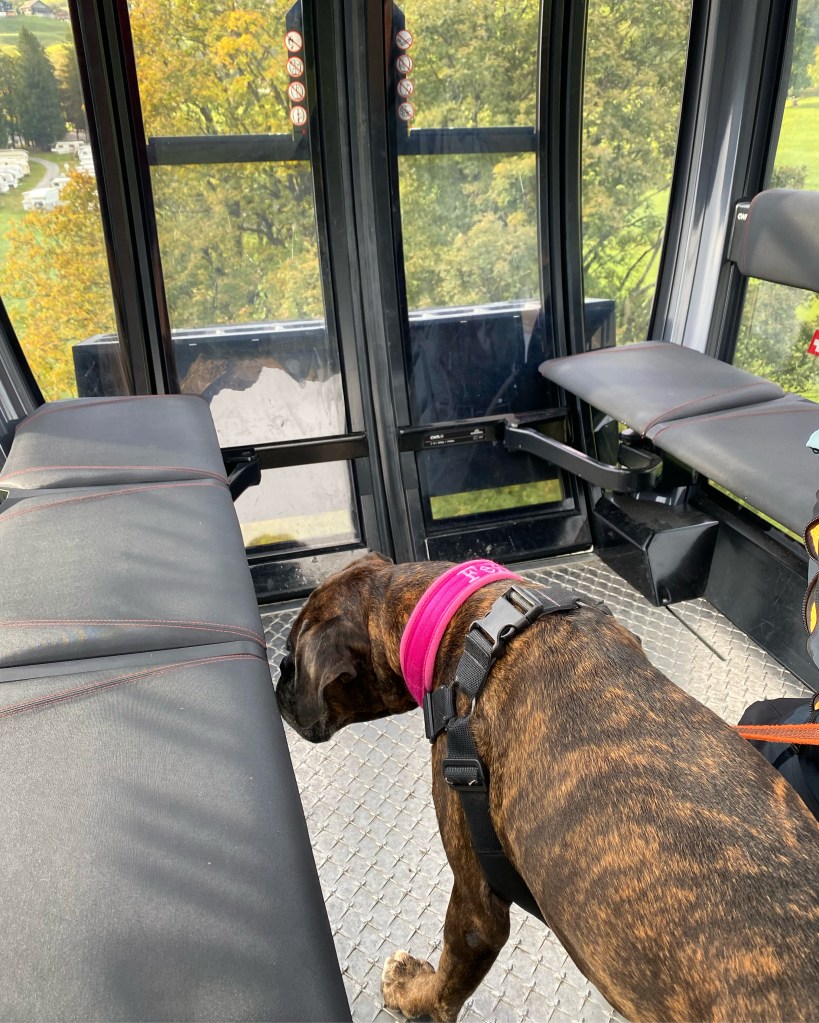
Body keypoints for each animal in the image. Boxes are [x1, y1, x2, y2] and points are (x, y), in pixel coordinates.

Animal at [276, 553, 819, 1022]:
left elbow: (446, 986)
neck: (472, 621)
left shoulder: (477, 908)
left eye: (290, 660)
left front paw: (411, 991)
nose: (279, 683)